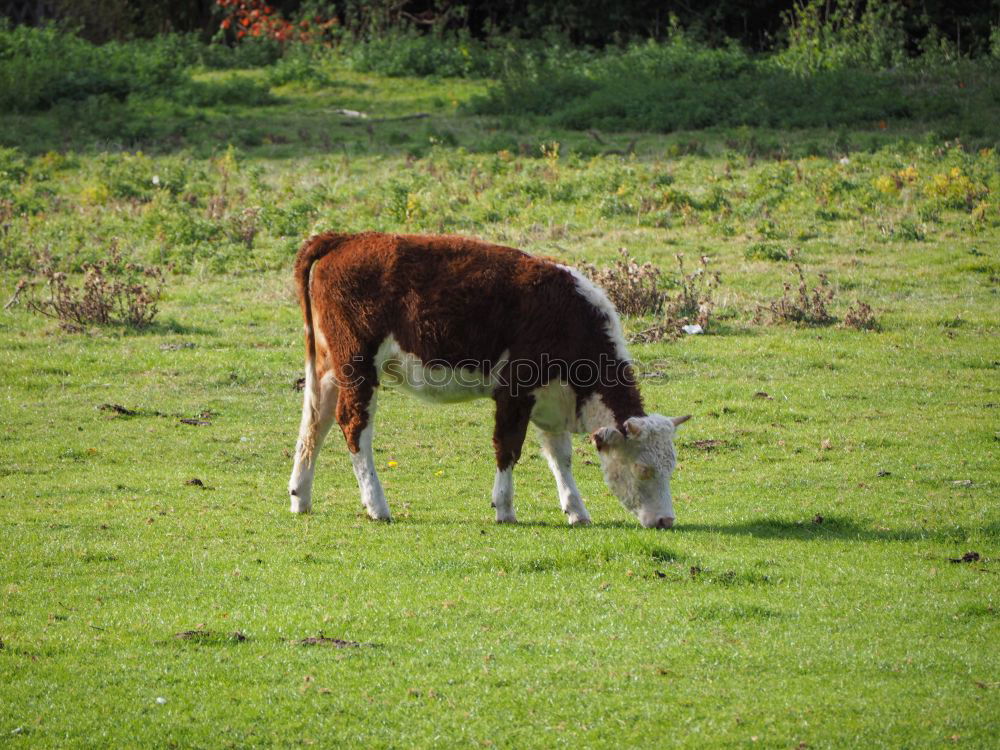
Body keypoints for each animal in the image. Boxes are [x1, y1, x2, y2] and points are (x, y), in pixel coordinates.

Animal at [288, 232, 688, 532]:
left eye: (671, 466)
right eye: (643, 469)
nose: (665, 520)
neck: (570, 319)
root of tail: (348, 238)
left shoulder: (551, 398)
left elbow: (560, 457)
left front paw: (576, 511)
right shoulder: (514, 392)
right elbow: (507, 447)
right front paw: (505, 508)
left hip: (329, 367)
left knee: (315, 421)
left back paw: (301, 497)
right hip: (359, 365)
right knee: (353, 424)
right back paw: (377, 505)